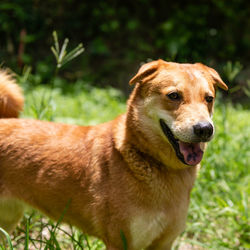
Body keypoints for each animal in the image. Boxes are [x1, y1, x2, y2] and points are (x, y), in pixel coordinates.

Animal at [0, 61, 227, 250]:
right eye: (174, 96)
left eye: (209, 99)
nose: (205, 129)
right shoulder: (120, 240)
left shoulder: (164, 242)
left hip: (9, 218)